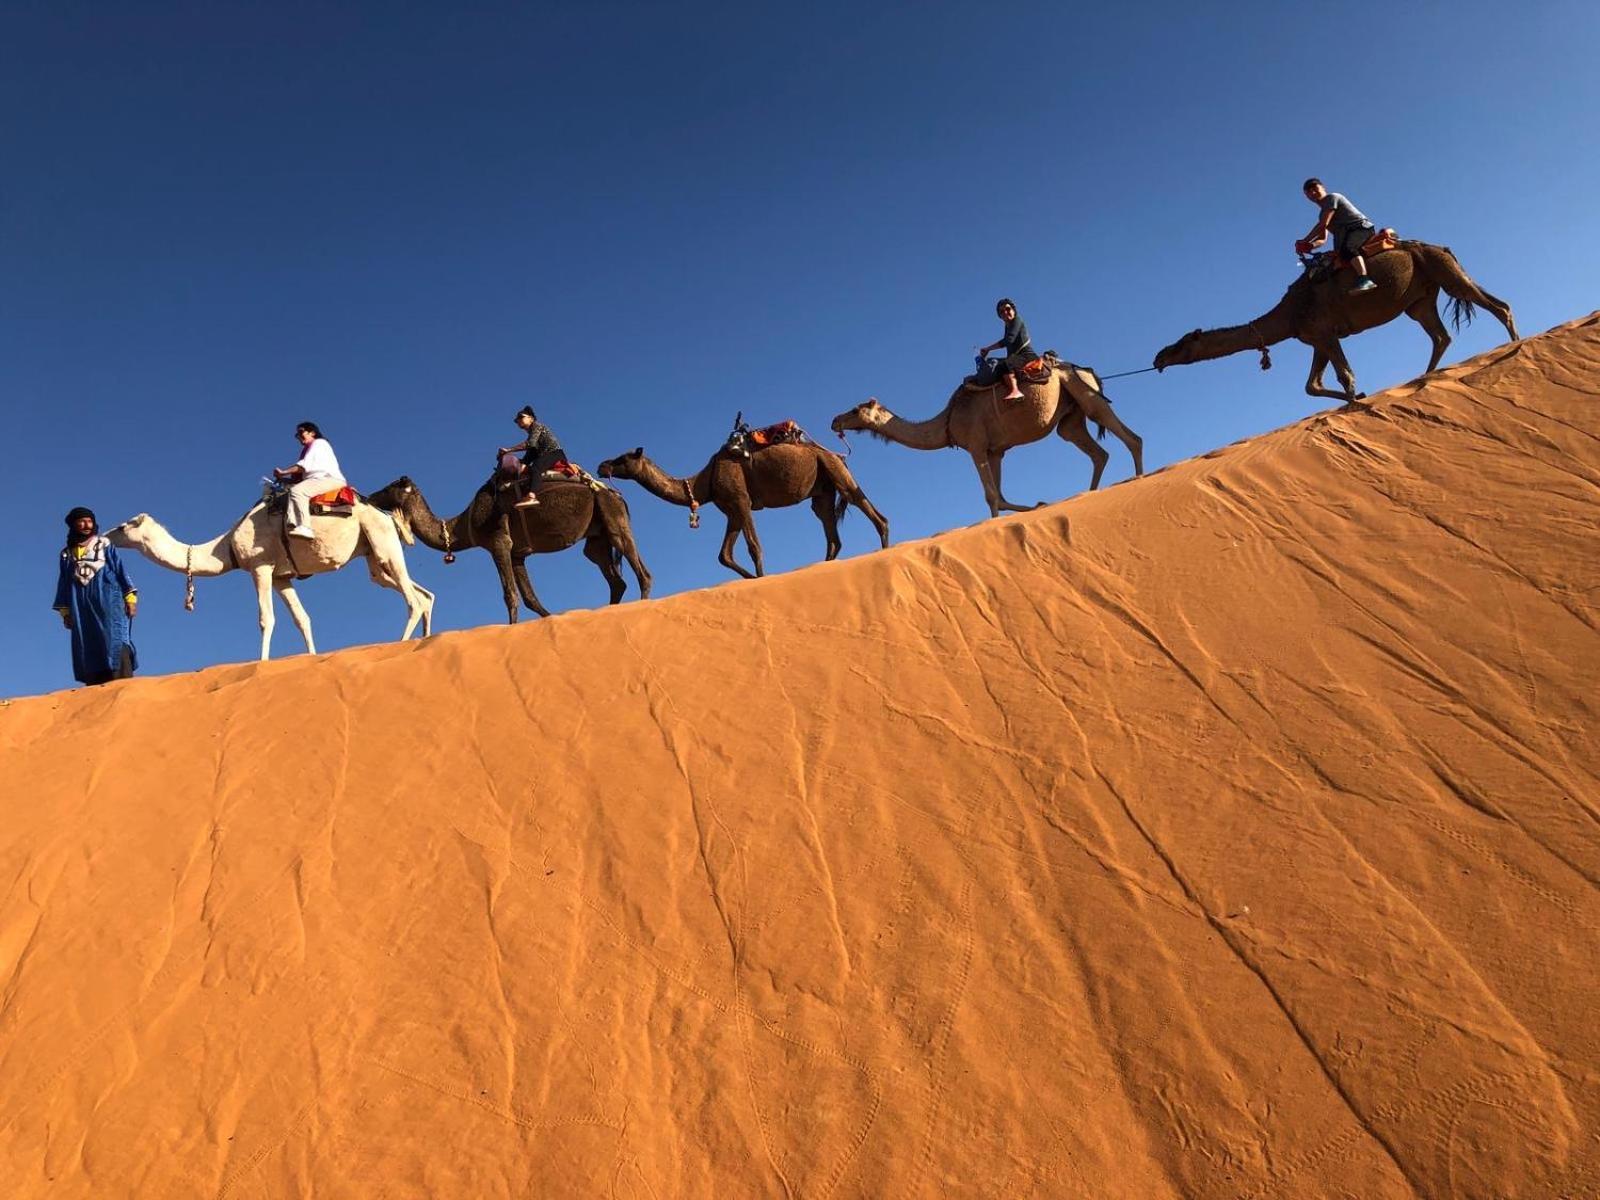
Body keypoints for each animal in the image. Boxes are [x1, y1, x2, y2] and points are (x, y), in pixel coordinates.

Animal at [107, 499, 435, 668]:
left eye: (123, 526)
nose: (104, 536)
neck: (225, 547)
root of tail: (390, 516)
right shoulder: (282, 577)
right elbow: (302, 619)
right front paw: (312, 656)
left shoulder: (260, 567)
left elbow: (267, 618)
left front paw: (261, 664)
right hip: (373, 556)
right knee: (422, 594)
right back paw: (423, 640)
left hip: (382, 542)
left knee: (413, 600)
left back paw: (401, 644)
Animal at [368, 473, 649, 620]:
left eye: (390, 487)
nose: (369, 496)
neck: (466, 524)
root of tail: (617, 494)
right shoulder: (518, 554)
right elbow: (530, 599)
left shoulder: (498, 543)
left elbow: (510, 596)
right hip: (597, 539)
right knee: (613, 577)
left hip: (612, 517)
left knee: (641, 571)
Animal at [598, 438, 889, 579]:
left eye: (623, 458)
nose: (602, 465)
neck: (704, 481)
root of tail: (835, 454)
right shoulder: (732, 511)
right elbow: (724, 555)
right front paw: (750, 578)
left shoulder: (741, 501)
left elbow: (753, 547)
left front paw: (761, 578)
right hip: (822, 490)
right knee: (830, 529)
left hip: (834, 469)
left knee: (867, 508)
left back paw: (884, 552)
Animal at [832, 364, 1145, 518]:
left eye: (855, 410)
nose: (834, 421)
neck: (948, 420)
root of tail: (1088, 370)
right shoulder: (996, 451)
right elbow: (1002, 497)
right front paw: (1038, 505)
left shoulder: (976, 445)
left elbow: (991, 496)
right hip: (1071, 416)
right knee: (1094, 450)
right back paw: (1089, 494)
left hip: (1084, 393)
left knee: (1130, 436)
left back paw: (1139, 479)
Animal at [1152, 238, 1510, 400]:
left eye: (1181, 345)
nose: (1158, 359)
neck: (1289, 314)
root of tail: (1441, 247)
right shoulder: (1318, 338)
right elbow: (1312, 385)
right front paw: (1358, 397)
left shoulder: (1324, 332)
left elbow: (1343, 376)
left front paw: (1356, 400)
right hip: (1420, 299)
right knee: (1440, 334)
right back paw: (1424, 376)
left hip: (1442, 271)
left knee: (1498, 306)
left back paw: (1513, 345)